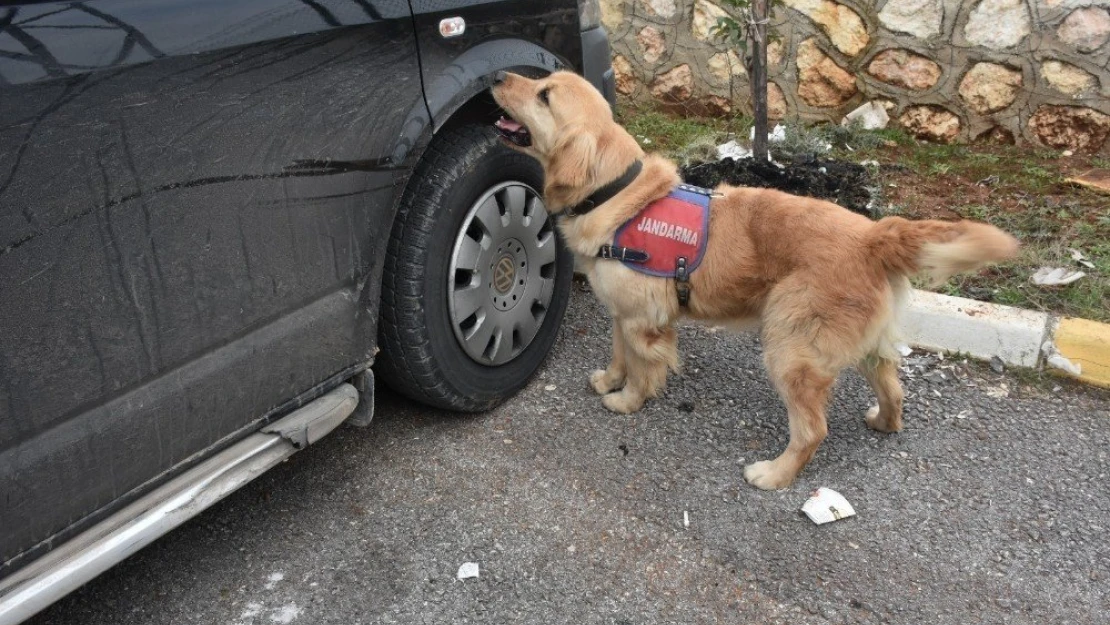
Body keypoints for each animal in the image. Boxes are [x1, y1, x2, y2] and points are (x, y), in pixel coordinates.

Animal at [490, 71, 1016, 490]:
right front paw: (609, 380)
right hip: (863, 345)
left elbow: (643, 368)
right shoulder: (624, 313)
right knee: (893, 387)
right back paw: (884, 423)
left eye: (544, 95)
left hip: (790, 346)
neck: (614, 194)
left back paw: (774, 475)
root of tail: (873, 234)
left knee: (813, 430)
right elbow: (620, 353)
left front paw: (628, 401)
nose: (496, 75)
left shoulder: (646, 321)